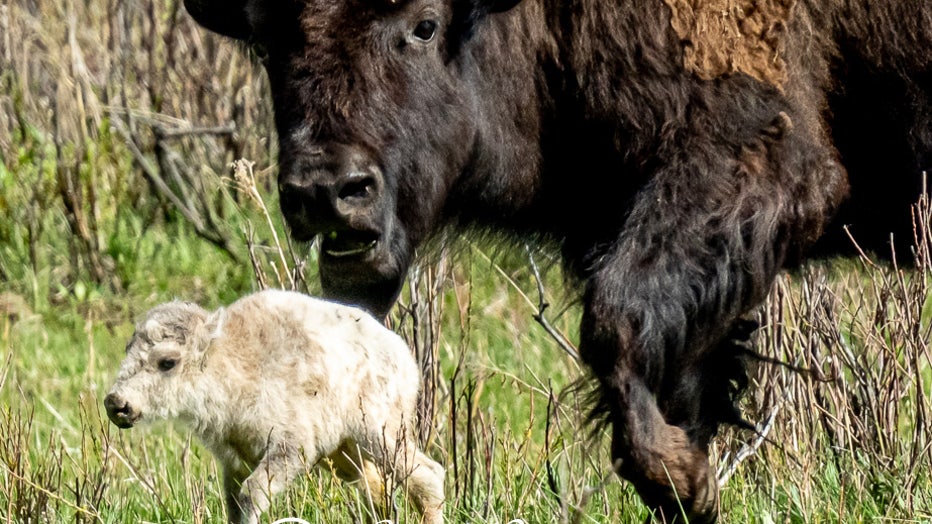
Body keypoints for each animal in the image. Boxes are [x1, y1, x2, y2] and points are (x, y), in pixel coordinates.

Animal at [104, 288, 446, 524]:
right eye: (128, 348)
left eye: (167, 362)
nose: (116, 403)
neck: (231, 361)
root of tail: (402, 353)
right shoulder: (235, 461)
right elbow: (234, 505)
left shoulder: (290, 447)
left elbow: (252, 495)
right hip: (345, 453)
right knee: (377, 491)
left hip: (381, 433)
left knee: (427, 476)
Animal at [180, 2, 924, 520]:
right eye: (269, 39)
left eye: (424, 24)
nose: (327, 190)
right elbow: (676, 371)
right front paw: (690, 482)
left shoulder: (757, 161)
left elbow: (616, 323)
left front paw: (680, 478)